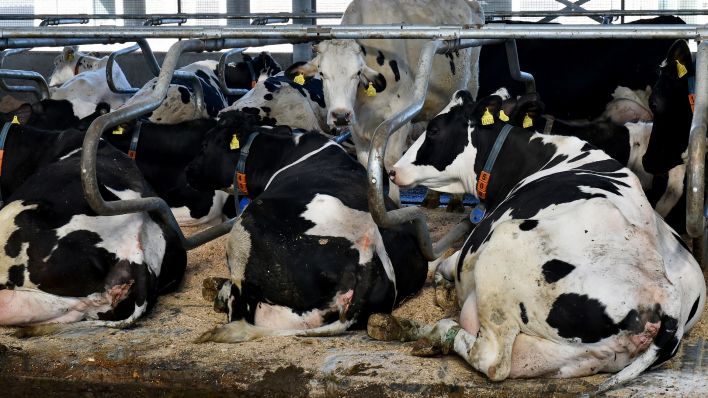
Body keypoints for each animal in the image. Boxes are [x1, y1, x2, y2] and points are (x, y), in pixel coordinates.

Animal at [374, 90, 704, 392]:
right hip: (570, 357)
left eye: (434, 129)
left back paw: (434, 330)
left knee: (492, 359)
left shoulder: (470, 252)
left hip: (502, 252)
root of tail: (663, 296)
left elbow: (442, 263)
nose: (393, 171)